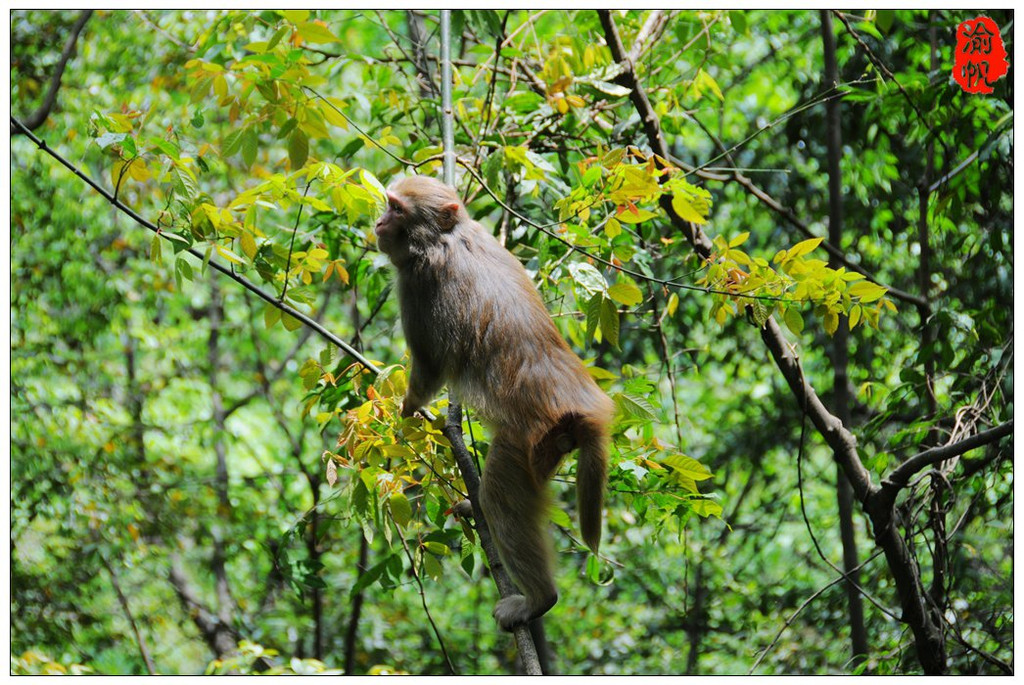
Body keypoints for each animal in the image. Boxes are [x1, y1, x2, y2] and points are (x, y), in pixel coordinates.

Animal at [376, 175, 614, 630]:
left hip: (529, 441)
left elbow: (430, 366)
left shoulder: (417, 281)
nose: (378, 222)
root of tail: (584, 407)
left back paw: (539, 598)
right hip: (550, 448)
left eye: (396, 209)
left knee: (503, 497)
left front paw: (409, 407)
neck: (449, 236)